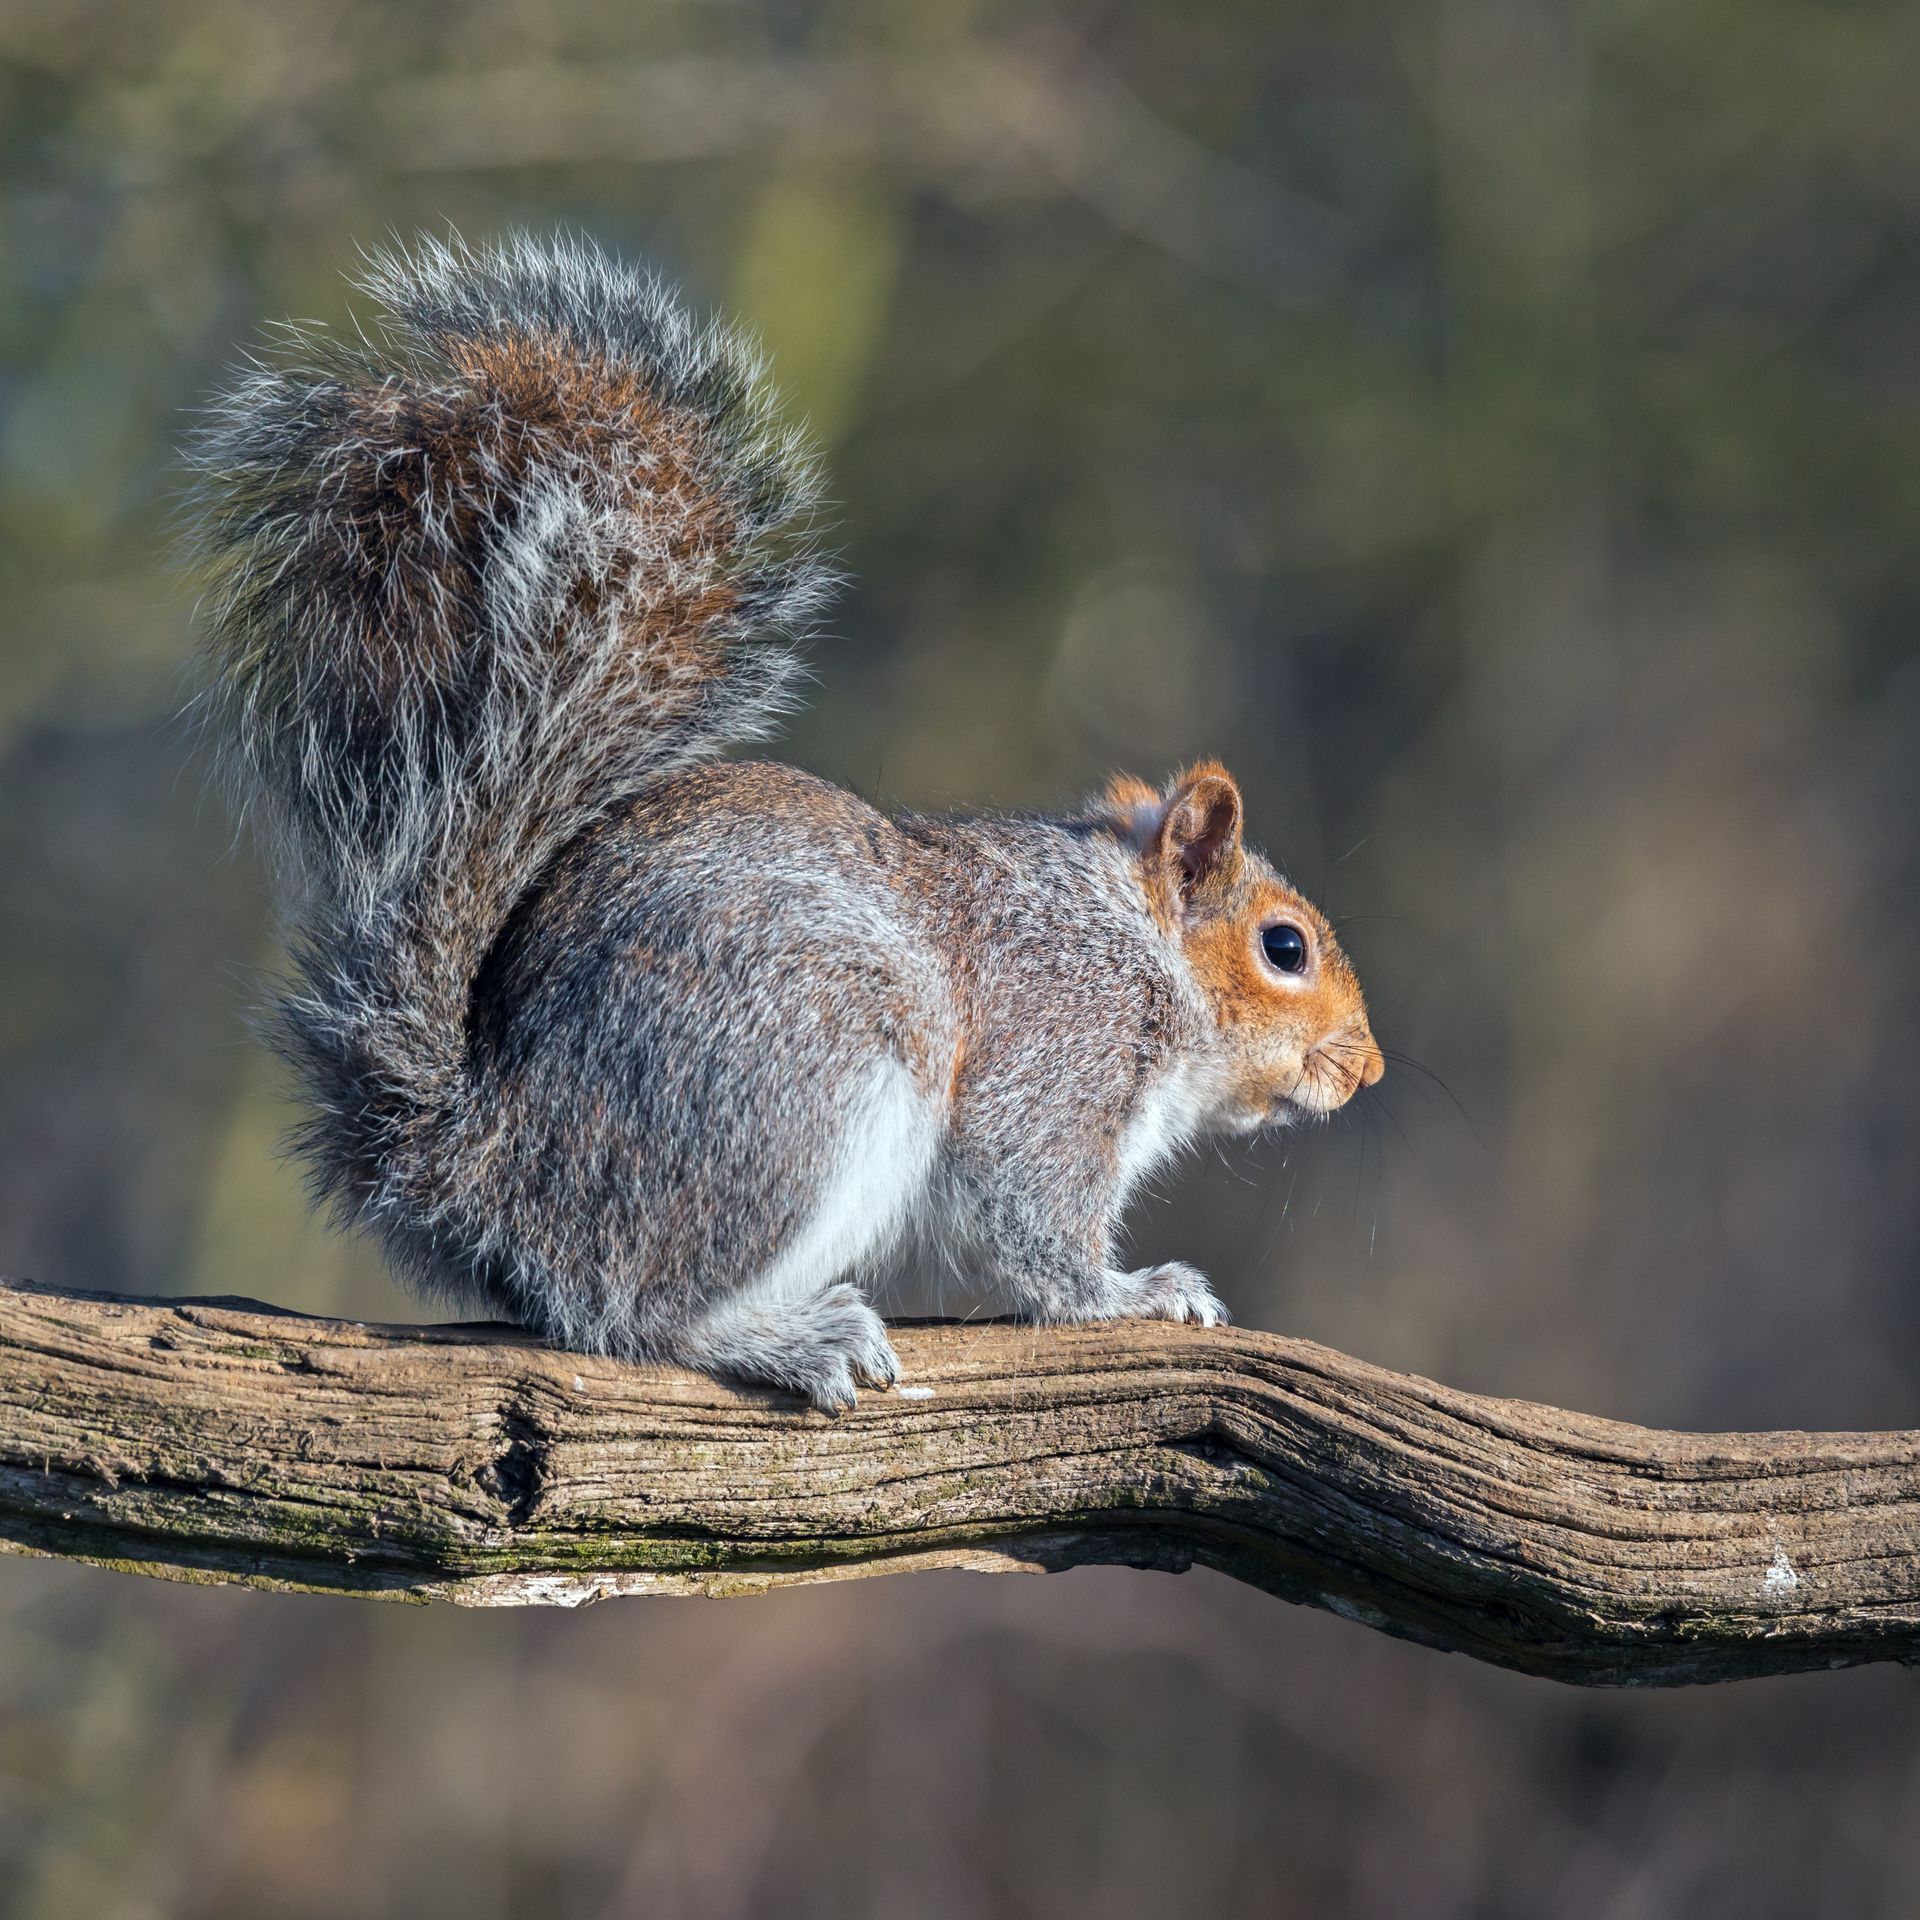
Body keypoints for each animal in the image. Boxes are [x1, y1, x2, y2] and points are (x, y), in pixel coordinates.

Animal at [185, 232, 1383, 1410]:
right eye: (1284, 948)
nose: (1366, 1071)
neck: (1140, 948)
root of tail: (493, 1161)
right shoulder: (1057, 1053)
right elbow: (1032, 1222)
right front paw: (1137, 1291)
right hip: (800, 1084)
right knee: (636, 1307)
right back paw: (794, 1336)